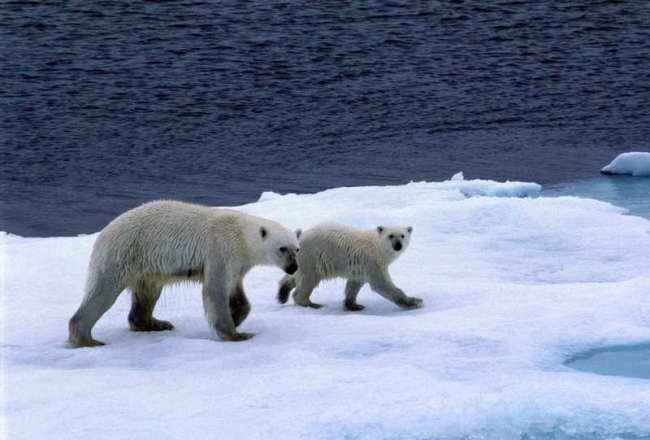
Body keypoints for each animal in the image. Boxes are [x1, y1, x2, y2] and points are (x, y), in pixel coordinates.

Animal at [68, 200, 301, 347]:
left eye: (297, 249)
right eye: (282, 248)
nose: (293, 268)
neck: (240, 235)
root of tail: (103, 233)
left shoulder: (238, 263)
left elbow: (238, 294)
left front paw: (237, 318)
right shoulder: (220, 248)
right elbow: (214, 290)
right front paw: (237, 334)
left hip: (144, 265)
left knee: (148, 293)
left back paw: (156, 323)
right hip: (123, 253)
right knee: (103, 293)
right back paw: (88, 339)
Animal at [277, 224, 423, 311]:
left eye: (403, 235)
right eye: (390, 236)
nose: (398, 245)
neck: (377, 247)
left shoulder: (360, 267)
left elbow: (354, 284)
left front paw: (354, 305)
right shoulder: (372, 261)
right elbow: (381, 283)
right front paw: (414, 302)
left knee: (294, 276)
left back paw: (282, 293)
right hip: (311, 257)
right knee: (308, 280)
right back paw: (311, 304)